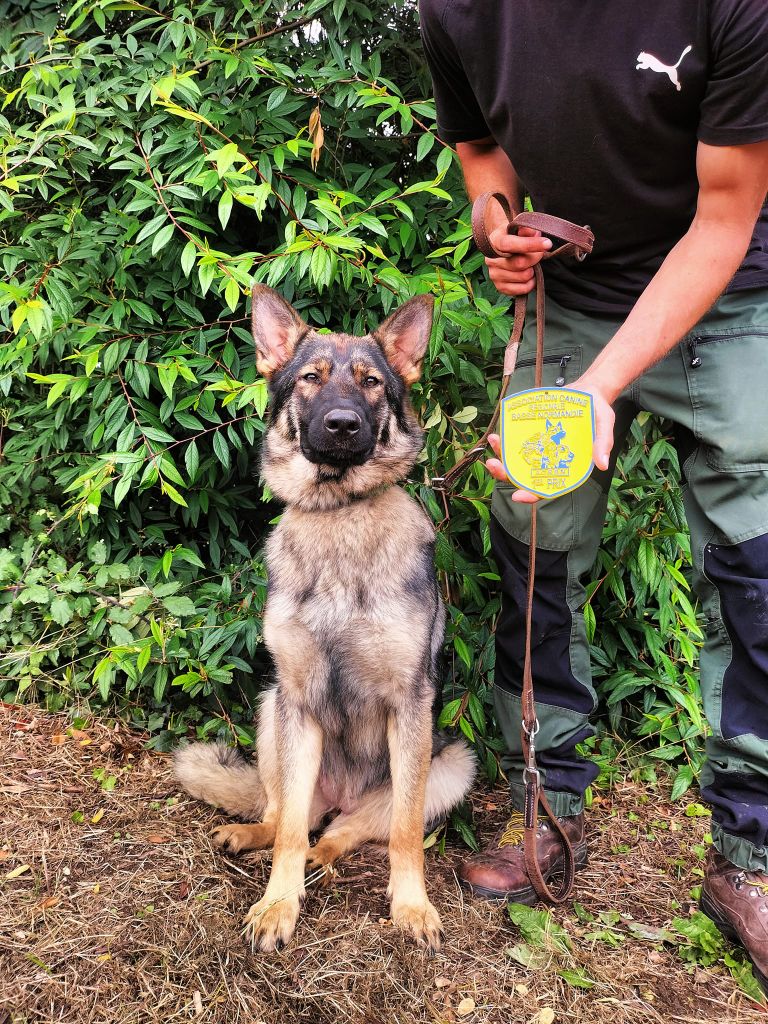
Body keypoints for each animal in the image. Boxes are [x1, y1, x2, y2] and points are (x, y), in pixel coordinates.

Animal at [174, 286, 475, 950]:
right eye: (310, 379)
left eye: (371, 383)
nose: (342, 425)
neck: (339, 514)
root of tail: (337, 797)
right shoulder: (299, 698)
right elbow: (288, 827)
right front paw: (277, 905)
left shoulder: (410, 708)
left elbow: (406, 833)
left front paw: (412, 907)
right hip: (272, 714)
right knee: (288, 812)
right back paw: (255, 835)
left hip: (449, 764)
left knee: (350, 829)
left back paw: (328, 854)